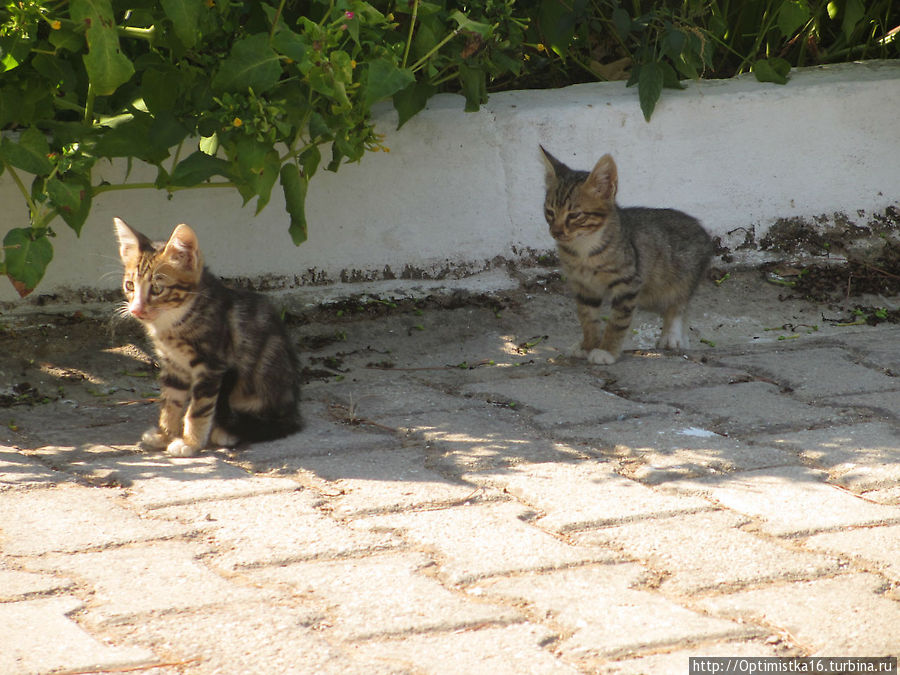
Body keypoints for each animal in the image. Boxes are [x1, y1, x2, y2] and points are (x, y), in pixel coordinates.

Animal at [113, 219, 298, 456]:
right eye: (130, 286)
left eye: (156, 288)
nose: (136, 310)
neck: (175, 320)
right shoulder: (173, 366)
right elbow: (170, 402)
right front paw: (166, 434)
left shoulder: (212, 364)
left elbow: (199, 409)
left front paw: (190, 442)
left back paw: (227, 432)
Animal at [536, 148, 712, 364]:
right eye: (550, 212)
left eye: (575, 215)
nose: (556, 232)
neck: (584, 250)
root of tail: (702, 230)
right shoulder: (584, 287)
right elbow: (587, 318)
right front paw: (588, 345)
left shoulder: (628, 284)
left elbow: (617, 322)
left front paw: (607, 350)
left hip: (680, 278)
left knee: (678, 305)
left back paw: (672, 335)